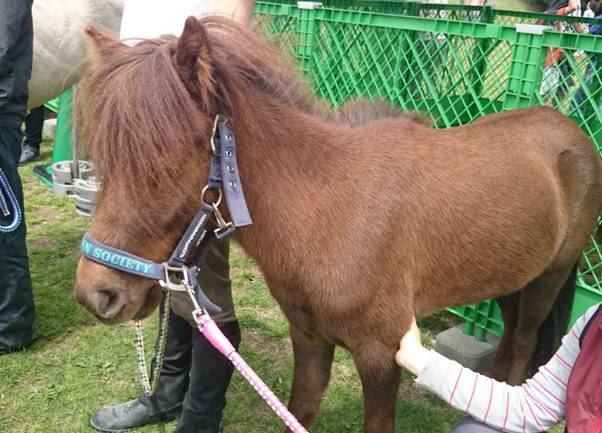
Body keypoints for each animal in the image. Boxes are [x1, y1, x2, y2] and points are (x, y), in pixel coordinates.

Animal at [75, 16, 600, 432]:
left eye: (163, 164)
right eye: (104, 159)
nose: (96, 295)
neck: (333, 212)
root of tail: (570, 132)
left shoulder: (381, 357)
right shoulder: (309, 340)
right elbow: (299, 411)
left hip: (549, 278)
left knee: (524, 343)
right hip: (512, 277)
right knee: (510, 348)